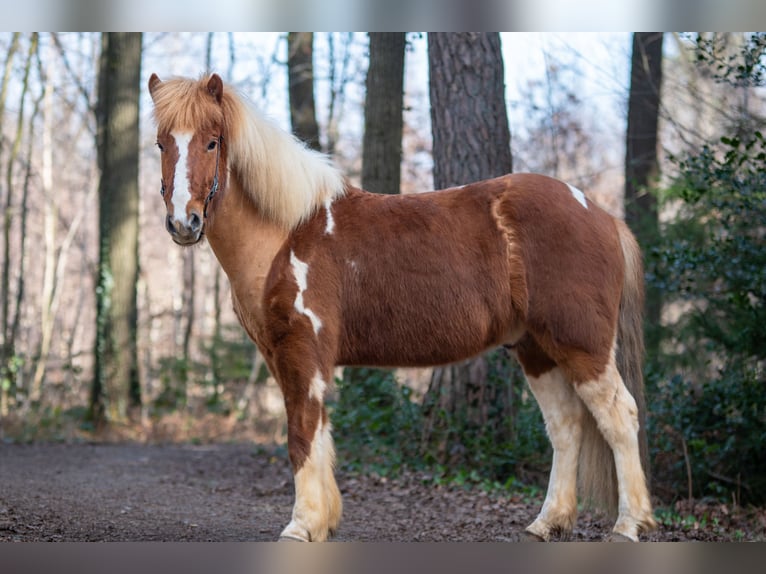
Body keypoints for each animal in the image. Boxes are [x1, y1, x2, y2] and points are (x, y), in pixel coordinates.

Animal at [147, 73, 656, 542]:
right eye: (160, 143)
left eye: (212, 142)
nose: (183, 223)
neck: (289, 232)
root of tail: (600, 214)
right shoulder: (283, 356)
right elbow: (318, 433)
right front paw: (323, 521)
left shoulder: (303, 351)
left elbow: (302, 432)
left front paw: (301, 526)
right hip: (535, 349)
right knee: (566, 426)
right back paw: (547, 523)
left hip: (582, 346)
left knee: (619, 417)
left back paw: (628, 525)